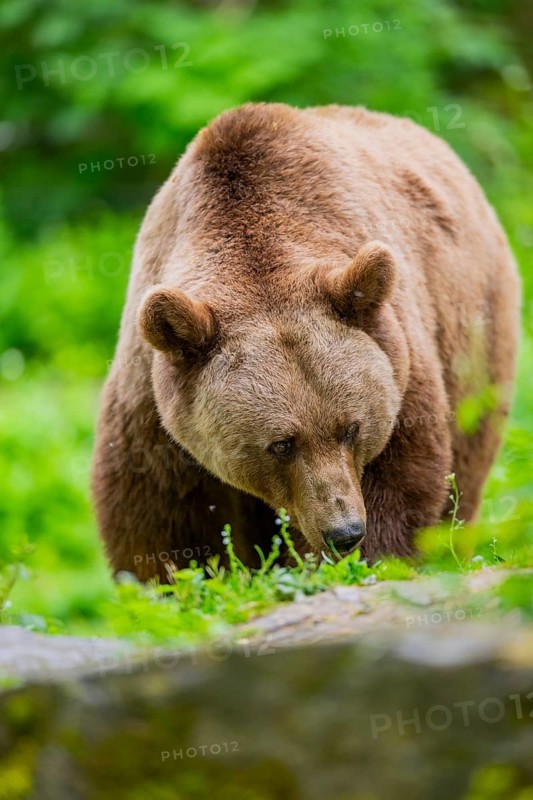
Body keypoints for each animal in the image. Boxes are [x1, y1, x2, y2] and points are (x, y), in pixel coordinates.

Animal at [92, 102, 520, 581]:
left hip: (474, 328)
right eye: (281, 444)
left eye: (351, 428)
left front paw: (361, 560)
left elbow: (401, 477)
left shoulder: (397, 363)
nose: (344, 531)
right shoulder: (155, 400)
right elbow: (160, 514)